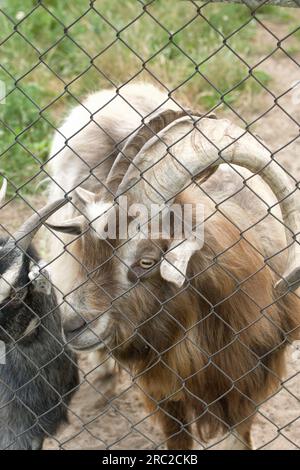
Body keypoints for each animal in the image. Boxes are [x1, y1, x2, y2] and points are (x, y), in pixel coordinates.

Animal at [46, 82, 300, 450]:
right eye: (89, 249)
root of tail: (113, 93)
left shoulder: (245, 385)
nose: (72, 327)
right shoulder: (165, 391)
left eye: (147, 260)